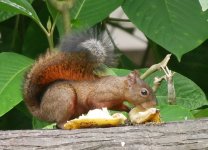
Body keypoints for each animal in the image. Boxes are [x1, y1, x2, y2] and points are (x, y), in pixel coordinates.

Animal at [23, 29, 156, 129]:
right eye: (144, 92)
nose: (155, 103)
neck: (118, 87)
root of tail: (41, 110)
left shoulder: (116, 102)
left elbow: (120, 107)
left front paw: (129, 110)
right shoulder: (100, 96)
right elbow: (93, 102)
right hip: (65, 99)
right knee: (59, 124)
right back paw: (68, 125)